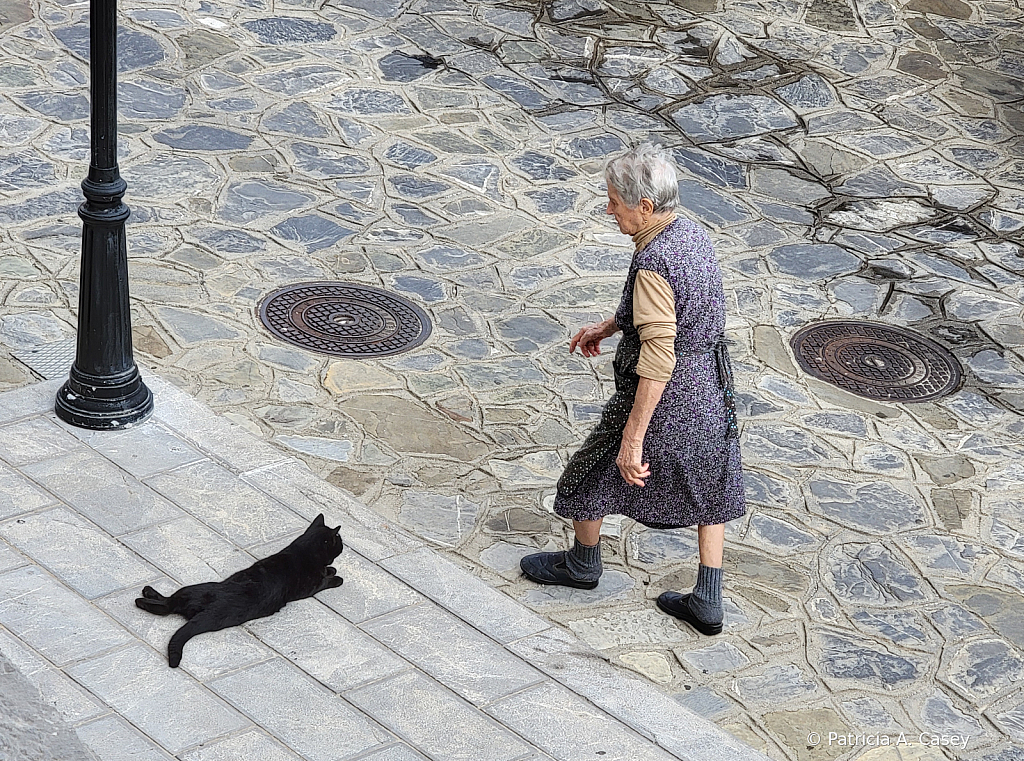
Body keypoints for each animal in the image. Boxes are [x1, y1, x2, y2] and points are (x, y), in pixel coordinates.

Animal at [134, 512, 344, 667]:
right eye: (340, 542)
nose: (343, 546)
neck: (303, 550)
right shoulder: (313, 586)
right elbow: (327, 580)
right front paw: (336, 577)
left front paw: (331, 569)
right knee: (167, 606)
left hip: (188, 591)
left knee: (168, 604)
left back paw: (145, 597)